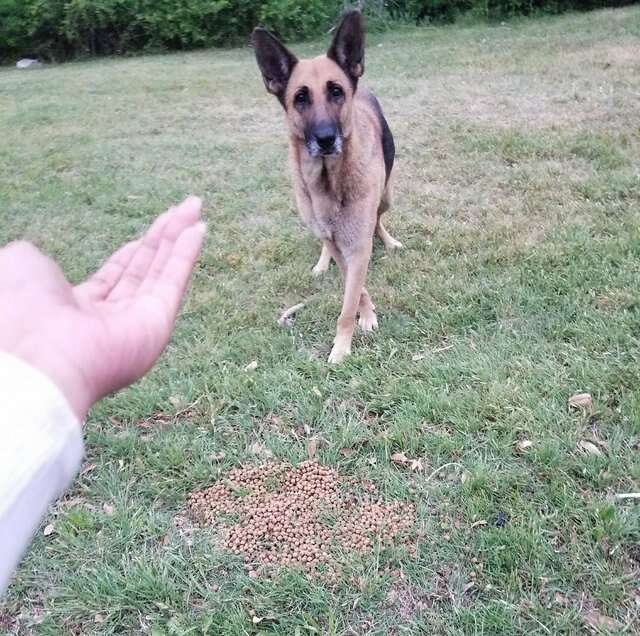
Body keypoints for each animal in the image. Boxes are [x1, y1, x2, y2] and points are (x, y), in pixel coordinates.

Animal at [251, 11, 398, 362]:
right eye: (300, 98)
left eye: (336, 91)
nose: (326, 139)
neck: (329, 182)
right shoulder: (339, 243)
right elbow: (355, 289)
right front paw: (366, 314)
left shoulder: (357, 246)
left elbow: (349, 301)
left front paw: (343, 346)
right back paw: (321, 263)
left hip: (386, 196)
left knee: (379, 218)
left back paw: (388, 240)